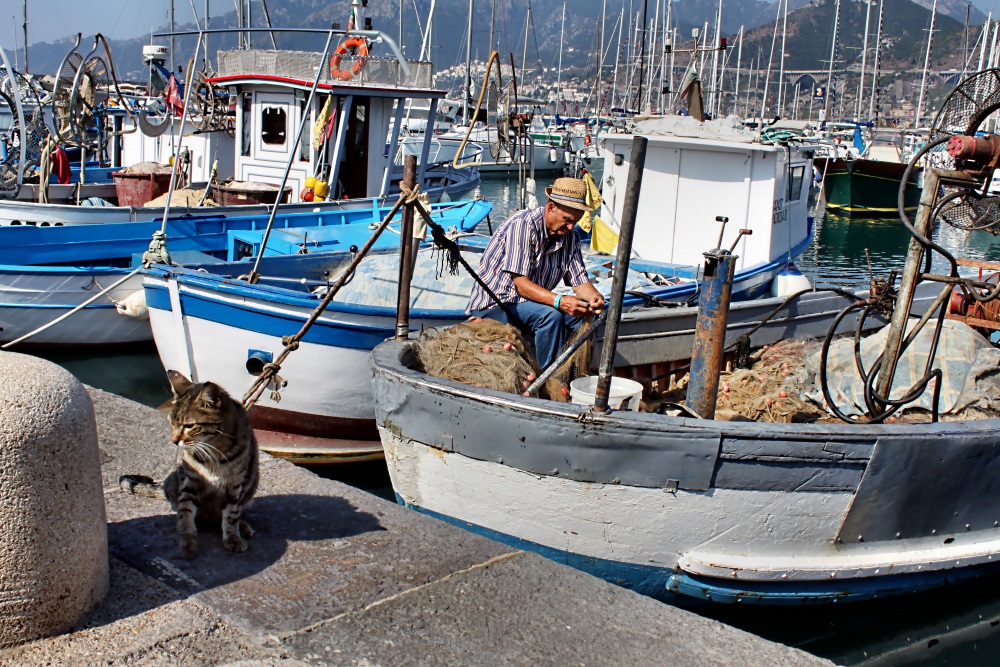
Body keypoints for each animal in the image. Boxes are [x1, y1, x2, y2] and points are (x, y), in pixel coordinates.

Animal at [118, 370, 260, 560]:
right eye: (171, 422)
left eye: (189, 426)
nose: (174, 441)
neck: (215, 450)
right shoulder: (190, 480)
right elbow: (186, 512)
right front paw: (187, 542)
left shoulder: (236, 484)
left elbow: (231, 515)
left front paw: (232, 538)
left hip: (252, 482)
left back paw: (241, 526)